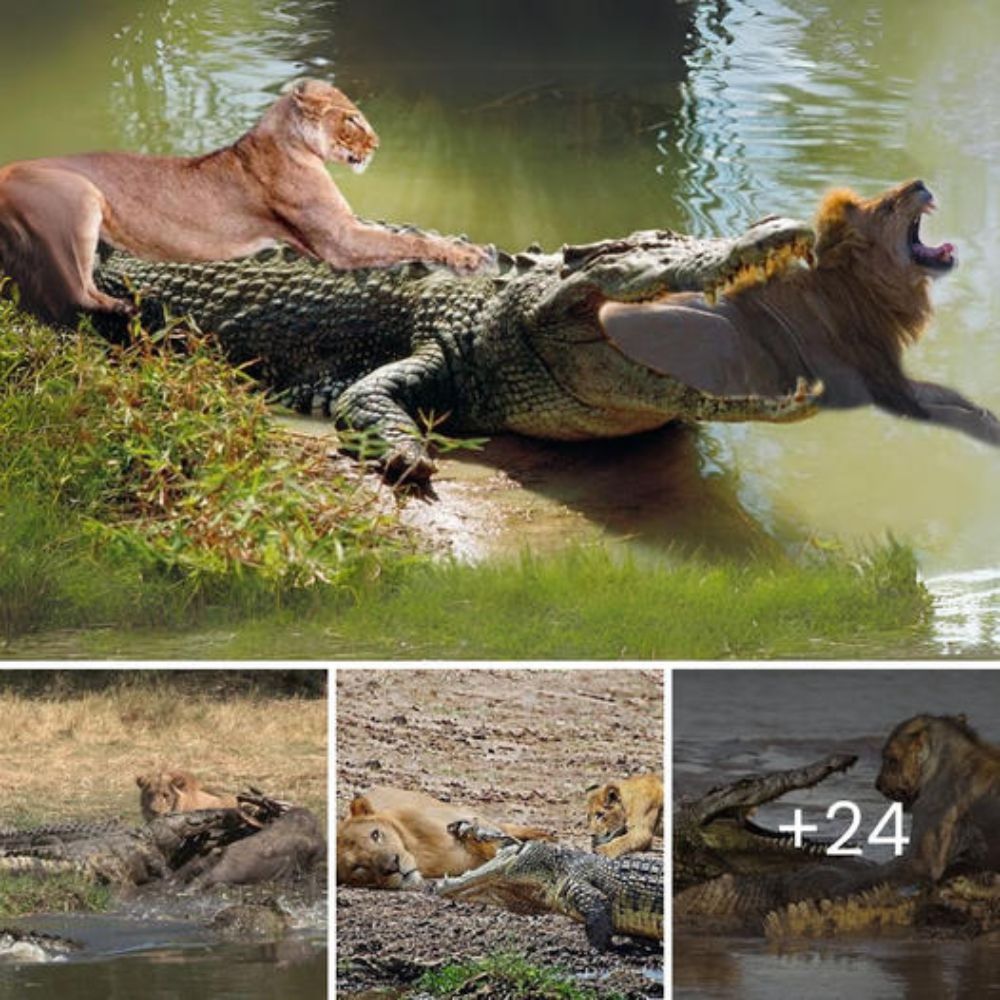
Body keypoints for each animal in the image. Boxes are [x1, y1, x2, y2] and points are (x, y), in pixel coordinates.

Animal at [0, 81, 488, 326]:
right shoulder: (339, 240)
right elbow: (410, 239)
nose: (378, 143)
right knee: (75, 293)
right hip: (83, 197)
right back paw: (127, 308)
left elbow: (402, 235)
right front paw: (469, 255)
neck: (284, 138)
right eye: (352, 119)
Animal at [596, 180, 1000, 446]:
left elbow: (956, 398)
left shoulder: (892, 378)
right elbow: (953, 414)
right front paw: (990, 432)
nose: (919, 183)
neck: (862, 292)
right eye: (888, 207)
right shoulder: (875, 392)